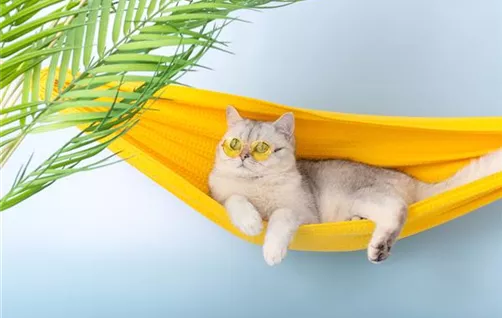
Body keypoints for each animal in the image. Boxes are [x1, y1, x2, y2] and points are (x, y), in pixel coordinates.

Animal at [209, 105, 502, 264]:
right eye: (234, 144)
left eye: (261, 148)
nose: (243, 156)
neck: (256, 186)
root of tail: (411, 180)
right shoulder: (221, 196)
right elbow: (235, 199)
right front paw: (251, 222)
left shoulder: (303, 212)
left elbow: (280, 216)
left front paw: (272, 250)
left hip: (362, 195)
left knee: (398, 209)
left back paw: (379, 247)